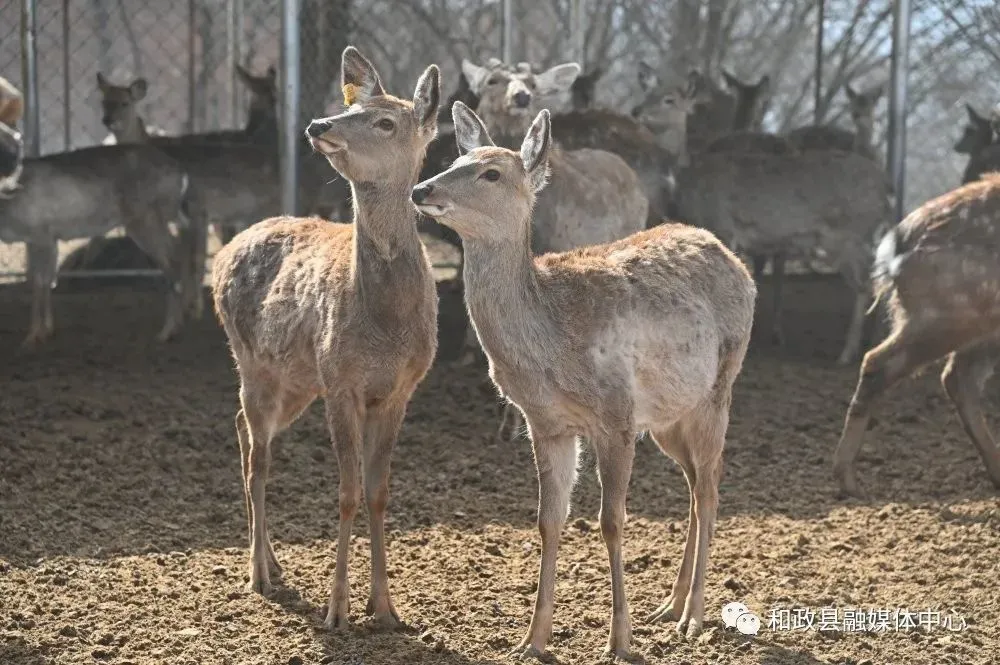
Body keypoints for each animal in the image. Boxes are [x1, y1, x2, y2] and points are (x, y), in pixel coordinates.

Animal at [212, 46, 442, 628]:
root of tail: (222, 254)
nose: (319, 124)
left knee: (245, 430)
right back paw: (260, 573)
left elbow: (378, 492)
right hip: (251, 359)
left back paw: (272, 561)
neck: (384, 324)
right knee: (258, 457)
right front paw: (338, 609)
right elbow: (346, 493)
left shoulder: (401, 389)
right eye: (350, 107)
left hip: (295, 382)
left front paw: (385, 607)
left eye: (385, 121)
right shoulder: (341, 382)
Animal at [412, 101, 752, 660]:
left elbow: (610, 522)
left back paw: (693, 617)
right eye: (454, 158)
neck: (551, 348)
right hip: (668, 416)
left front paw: (620, 641)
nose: (422, 189)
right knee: (693, 484)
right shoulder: (547, 423)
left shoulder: (615, 415)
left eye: (491, 172)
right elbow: (548, 520)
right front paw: (531, 640)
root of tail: (736, 262)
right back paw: (670, 605)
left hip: (720, 385)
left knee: (711, 487)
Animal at [644, 72, 896, 364]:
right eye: (648, 91)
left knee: (868, 282)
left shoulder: (723, 225)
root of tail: (886, 188)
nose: (636, 111)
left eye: (669, 99)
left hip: (849, 235)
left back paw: (848, 353)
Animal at [832, 174, 1000, 496]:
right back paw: (847, 480)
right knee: (878, 362)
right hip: (943, 318)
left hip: (974, 329)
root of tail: (894, 248)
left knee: (958, 379)